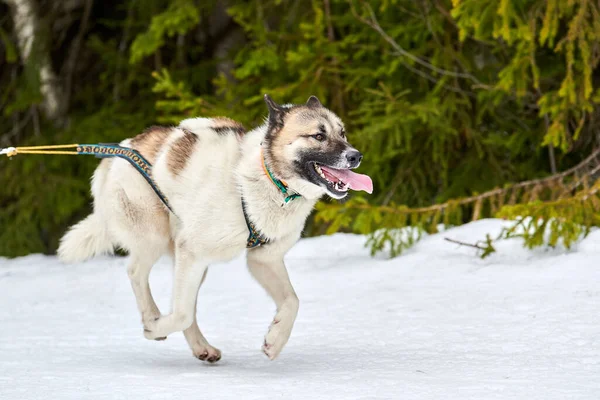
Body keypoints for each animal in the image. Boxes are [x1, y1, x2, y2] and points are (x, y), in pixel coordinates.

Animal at [58, 96, 372, 362]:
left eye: (342, 133)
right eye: (318, 136)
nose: (356, 156)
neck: (264, 180)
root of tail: (119, 151)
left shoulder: (263, 259)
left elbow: (292, 301)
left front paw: (275, 339)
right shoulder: (193, 251)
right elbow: (181, 314)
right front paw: (155, 328)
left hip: (192, 263)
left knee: (185, 303)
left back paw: (201, 347)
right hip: (156, 238)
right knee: (137, 273)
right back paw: (153, 318)